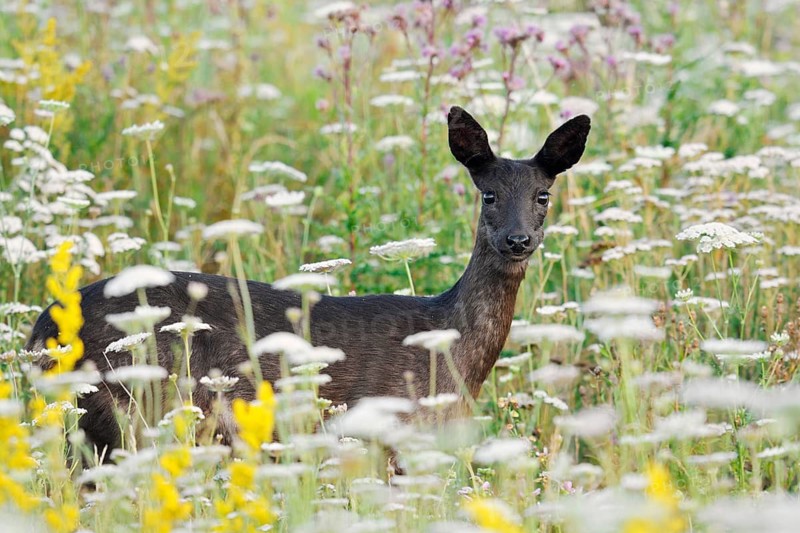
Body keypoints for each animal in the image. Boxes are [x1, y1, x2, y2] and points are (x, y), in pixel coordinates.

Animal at [27, 107, 590, 456]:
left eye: (543, 194)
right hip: (125, 407)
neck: (452, 350)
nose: (518, 240)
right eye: (488, 194)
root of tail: (40, 331)